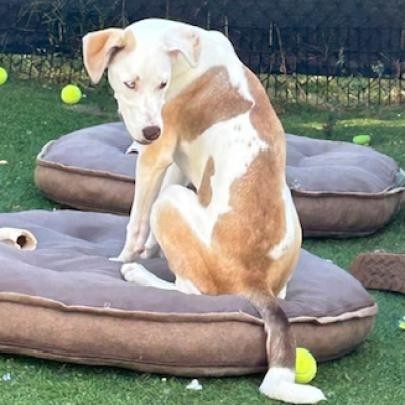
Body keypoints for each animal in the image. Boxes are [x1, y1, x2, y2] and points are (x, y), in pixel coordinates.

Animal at [82, 19, 326, 404]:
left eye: (163, 85)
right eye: (131, 83)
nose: (151, 131)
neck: (185, 52)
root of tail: (254, 281)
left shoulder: (155, 157)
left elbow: (136, 221)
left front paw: (124, 257)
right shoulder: (173, 162)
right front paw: (151, 250)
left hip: (172, 204)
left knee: (190, 292)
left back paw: (136, 274)